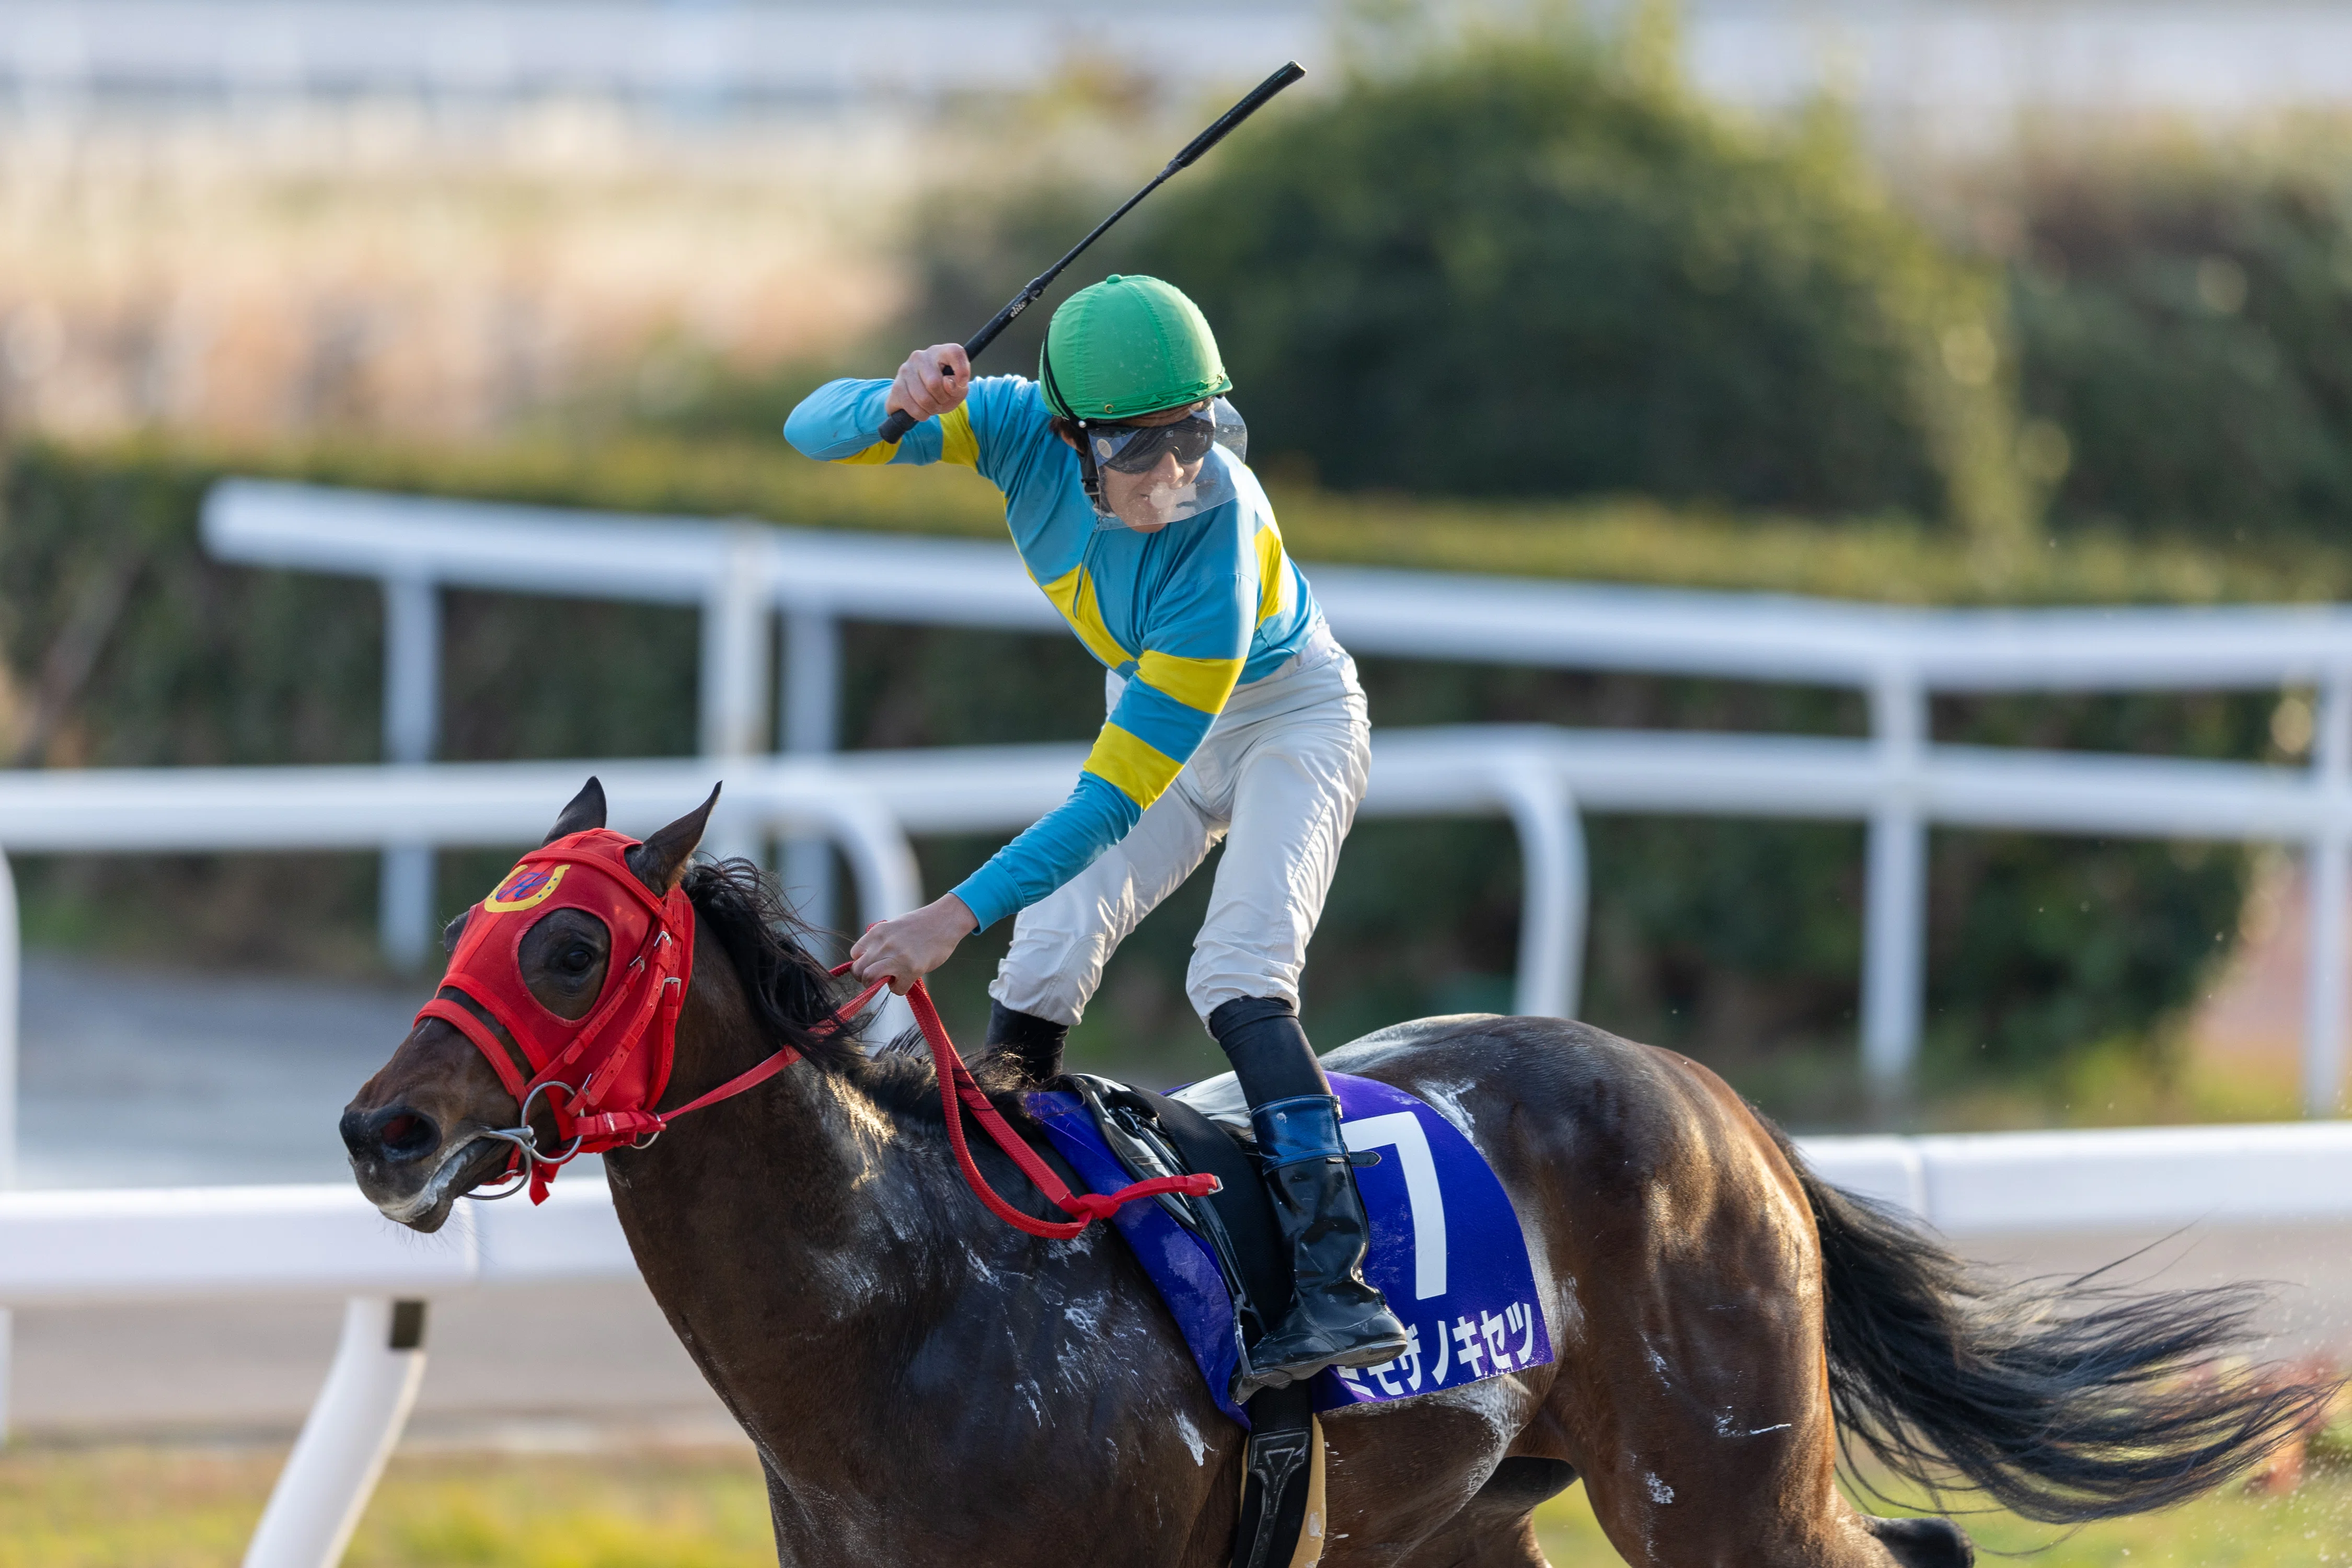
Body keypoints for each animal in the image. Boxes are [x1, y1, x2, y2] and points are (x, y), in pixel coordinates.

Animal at [343, 781, 2332, 1567]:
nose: (384, 1130)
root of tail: (1721, 1105)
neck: (901, 1313)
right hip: (1465, 1517)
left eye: (571, 951)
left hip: (1724, 1488)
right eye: (464, 928)